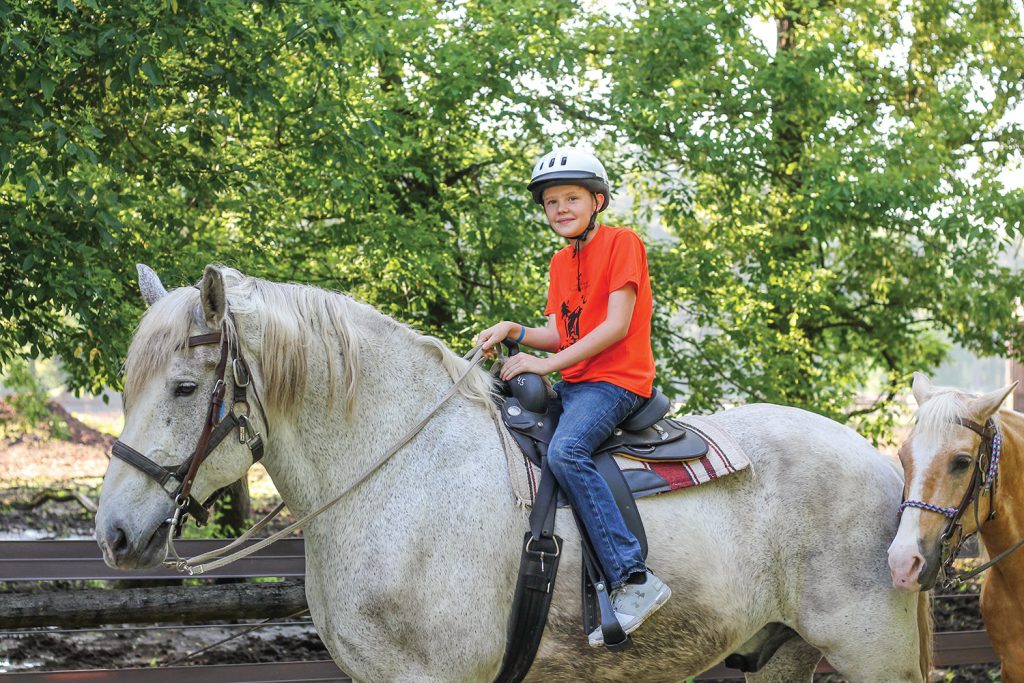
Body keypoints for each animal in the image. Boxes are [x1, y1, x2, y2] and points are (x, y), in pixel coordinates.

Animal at [97, 266, 937, 683]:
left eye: (183, 387)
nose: (115, 534)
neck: (398, 475)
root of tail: (883, 464)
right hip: (782, 651)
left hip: (875, 655)